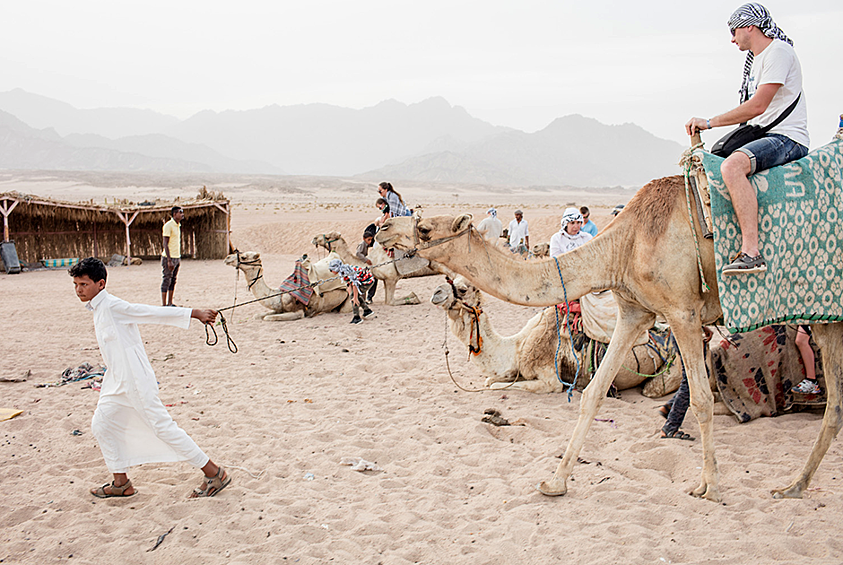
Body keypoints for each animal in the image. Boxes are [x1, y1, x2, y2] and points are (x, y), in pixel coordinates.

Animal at [223, 251, 352, 322]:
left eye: (244, 257)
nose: (227, 258)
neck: (278, 295)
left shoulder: (299, 312)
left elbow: (268, 318)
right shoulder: (278, 308)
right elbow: (258, 316)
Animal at [432, 276, 684, 392]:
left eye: (462, 289)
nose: (436, 293)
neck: (516, 346)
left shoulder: (550, 378)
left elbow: (496, 386)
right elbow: (490, 380)